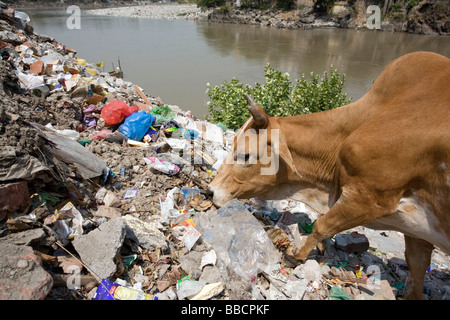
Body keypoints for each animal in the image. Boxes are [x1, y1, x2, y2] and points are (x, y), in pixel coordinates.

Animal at [210, 51, 450, 298]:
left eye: (246, 155)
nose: (211, 191)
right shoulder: (418, 232)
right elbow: (417, 267)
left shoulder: (368, 199)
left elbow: (322, 225)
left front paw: (295, 254)